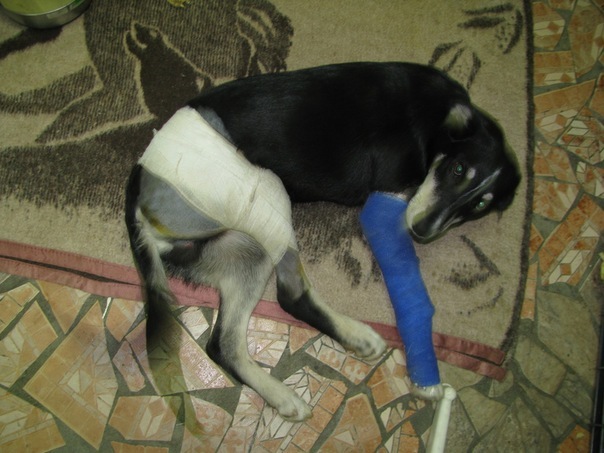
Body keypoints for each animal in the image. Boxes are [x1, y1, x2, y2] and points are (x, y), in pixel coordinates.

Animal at [125, 62, 521, 422]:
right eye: (457, 169)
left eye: (480, 205)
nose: (422, 231)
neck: (435, 117)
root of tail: (141, 172)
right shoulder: (388, 195)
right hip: (267, 192)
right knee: (290, 294)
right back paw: (350, 338)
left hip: (245, 252)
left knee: (226, 344)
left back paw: (284, 393)